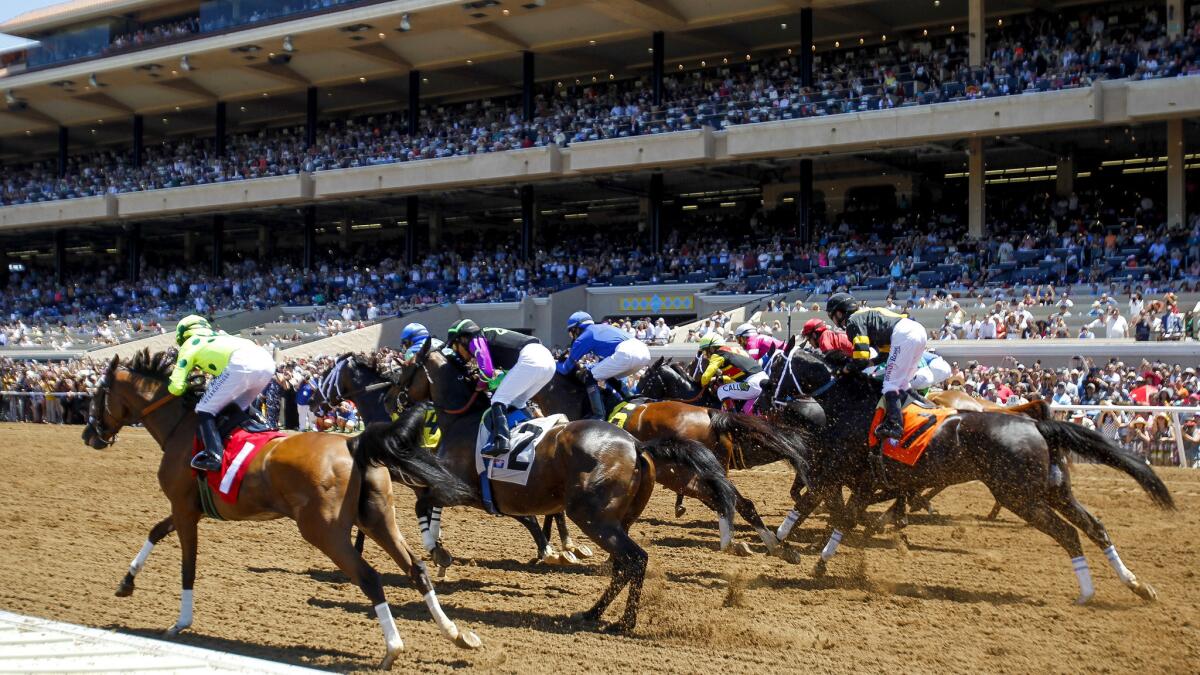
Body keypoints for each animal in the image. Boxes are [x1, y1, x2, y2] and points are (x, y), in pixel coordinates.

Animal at [79, 348, 484, 662]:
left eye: (97, 394)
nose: (88, 434)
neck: (182, 426)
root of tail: (352, 443)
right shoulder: (187, 508)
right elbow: (155, 530)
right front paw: (126, 582)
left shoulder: (183, 508)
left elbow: (187, 567)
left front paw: (180, 623)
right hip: (377, 518)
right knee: (416, 568)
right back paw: (457, 633)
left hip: (322, 530)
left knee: (369, 578)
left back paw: (393, 648)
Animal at [388, 341, 739, 629]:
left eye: (405, 367)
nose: (394, 397)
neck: (463, 419)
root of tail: (636, 445)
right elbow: (534, 518)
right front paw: (556, 550)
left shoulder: (456, 487)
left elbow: (423, 501)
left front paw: (437, 549)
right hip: (619, 518)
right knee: (622, 565)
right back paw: (594, 612)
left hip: (592, 516)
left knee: (636, 559)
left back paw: (625, 622)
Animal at [532, 365, 806, 554]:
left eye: (648, 378)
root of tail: (711, 413)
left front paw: (558, 546)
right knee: (737, 501)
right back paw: (769, 544)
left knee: (728, 499)